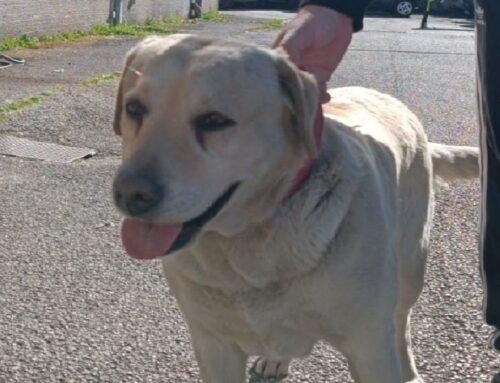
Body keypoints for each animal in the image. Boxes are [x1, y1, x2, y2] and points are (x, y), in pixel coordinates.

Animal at [111, 34, 478, 382]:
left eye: (214, 120)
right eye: (134, 108)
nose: (129, 195)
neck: (248, 245)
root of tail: (387, 97)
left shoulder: (370, 345)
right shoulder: (213, 345)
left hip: (412, 265)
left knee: (402, 320)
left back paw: (409, 370)